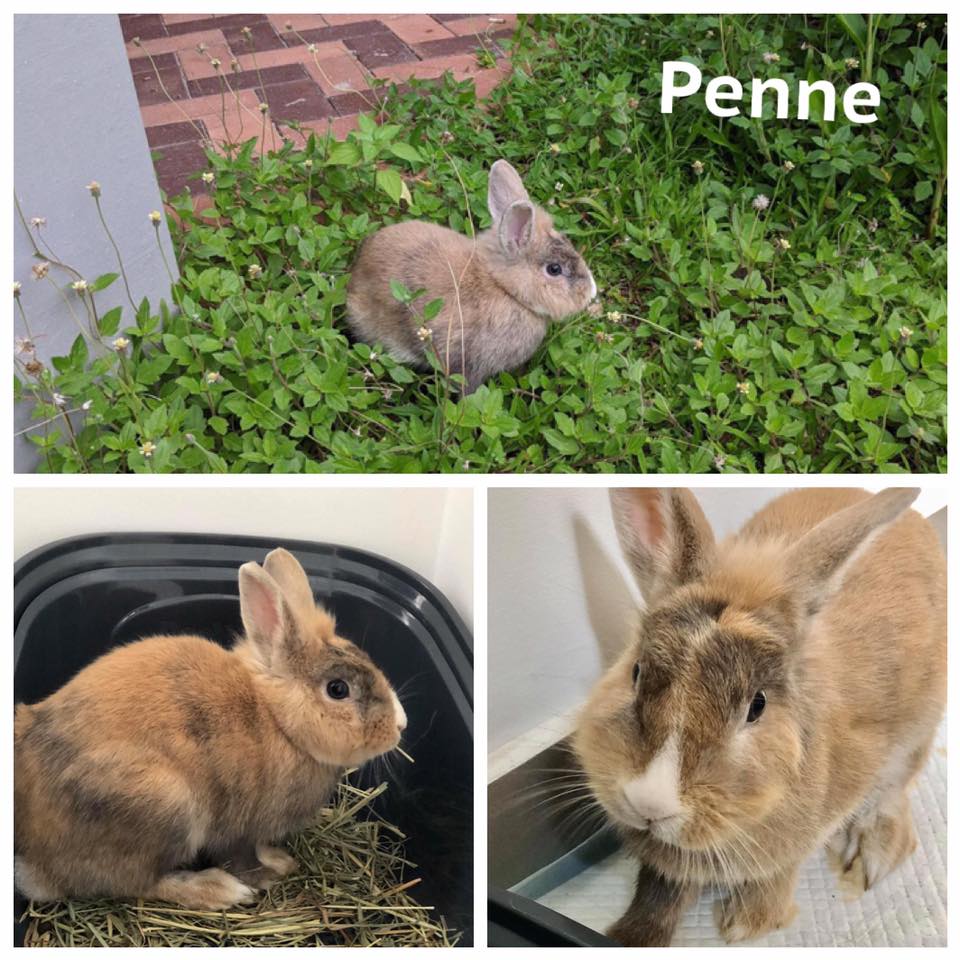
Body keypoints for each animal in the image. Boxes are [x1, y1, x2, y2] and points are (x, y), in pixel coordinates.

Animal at [14, 548, 404, 908]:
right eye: (338, 689)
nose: (401, 724)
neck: (276, 721)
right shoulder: (238, 829)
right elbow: (241, 858)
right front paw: (268, 876)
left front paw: (282, 860)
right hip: (166, 808)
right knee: (137, 884)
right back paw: (217, 891)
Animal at [568, 488, 944, 944]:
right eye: (636, 672)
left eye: (757, 706)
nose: (649, 803)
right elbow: (658, 891)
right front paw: (627, 936)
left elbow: (779, 871)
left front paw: (747, 923)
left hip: (915, 736)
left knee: (893, 795)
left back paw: (874, 857)